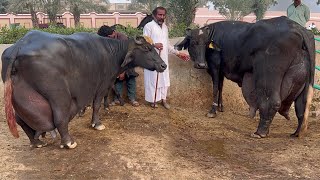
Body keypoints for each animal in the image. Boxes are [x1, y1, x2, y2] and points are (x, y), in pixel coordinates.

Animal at [2, 29, 166, 148]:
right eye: (147, 48)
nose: (163, 65)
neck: (112, 53)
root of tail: (20, 44)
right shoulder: (102, 85)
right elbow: (96, 105)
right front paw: (97, 123)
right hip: (57, 94)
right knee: (60, 118)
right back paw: (68, 141)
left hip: (20, 95)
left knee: (20, 120)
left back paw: (36, 141)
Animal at [176, 16, 314, 138]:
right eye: (193, 43)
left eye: (205, 44)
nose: (201, 64)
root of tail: (297, 28)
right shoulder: (221, 71)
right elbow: (220, 87)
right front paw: (221, 107)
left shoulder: (215, 67)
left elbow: (215, 88)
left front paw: (212, 111)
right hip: (303, 81)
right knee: (302, 106)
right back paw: (296, 133)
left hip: (268, 76)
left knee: (271, 102)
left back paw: (260, 132)